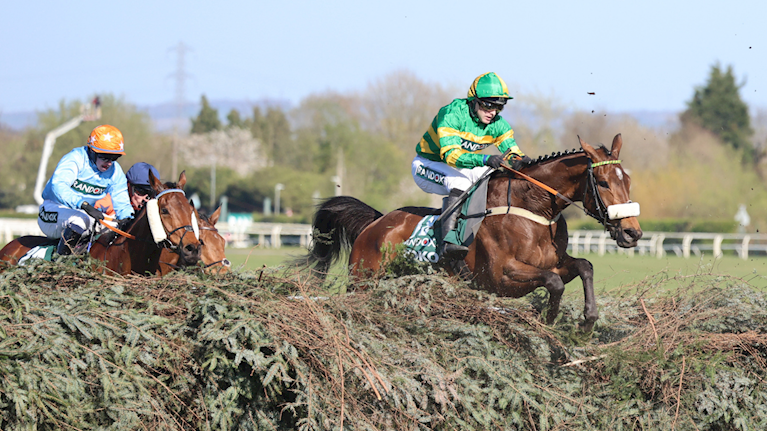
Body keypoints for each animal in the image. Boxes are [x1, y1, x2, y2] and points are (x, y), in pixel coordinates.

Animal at [298, 134, 642, 331]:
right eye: (603, 182)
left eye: (627, 180)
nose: (632, 233)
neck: (532, 210)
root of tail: (376, 224)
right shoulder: (501, 275)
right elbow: (554, 282)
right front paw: (549, 319)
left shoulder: (553, 262)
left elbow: (585, 266)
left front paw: (588, 321)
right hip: (364, 280)